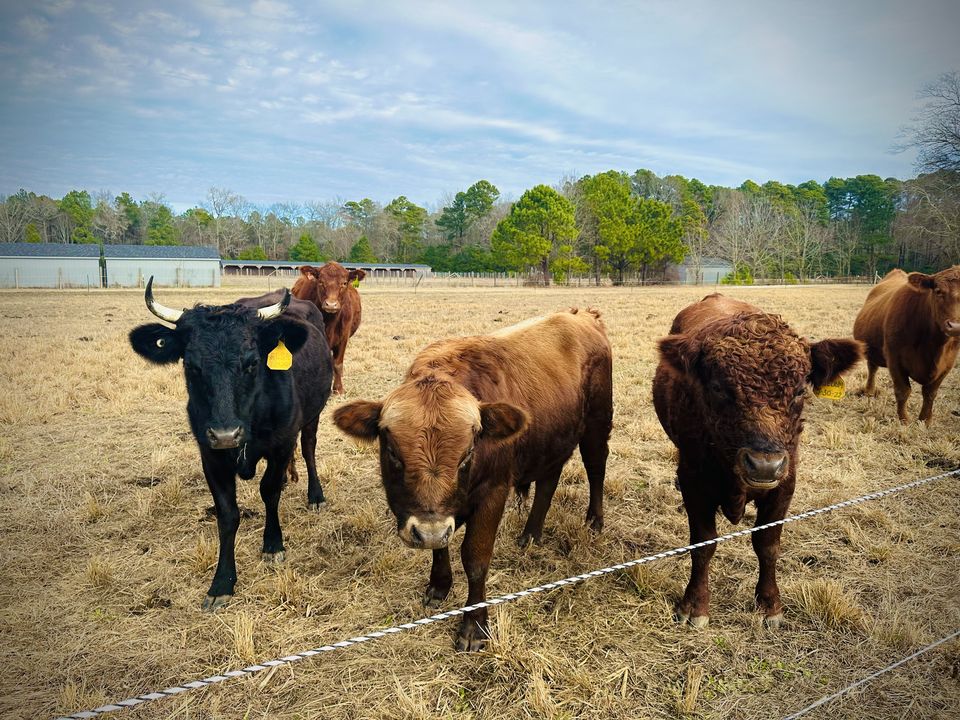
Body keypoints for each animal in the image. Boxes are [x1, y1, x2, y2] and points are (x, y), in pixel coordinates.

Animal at [129, 278, 333, 610]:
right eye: (191, 365)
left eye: (252, 363)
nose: (226, 434)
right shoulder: (210, 457)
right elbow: (227, 514)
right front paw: (222, 582)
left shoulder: (280, 445)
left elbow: (269, 492)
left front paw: (273, 545)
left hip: (313, 416)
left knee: (308, 448)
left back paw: (315, 495)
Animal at [292, 262, 365, 395]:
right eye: (321, 282)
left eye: (344, 283)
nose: (331, 304)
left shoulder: (343, 338)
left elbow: (337, 364)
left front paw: (338, 389)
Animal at [333, 309, 613, 651]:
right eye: (393, 452)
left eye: (467, 453)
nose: (427, 531)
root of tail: (582, 316)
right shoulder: (443, 514)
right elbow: (441, 546)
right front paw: (439, 585)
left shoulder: (494, 492)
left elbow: (475, 558)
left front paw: (474, 625)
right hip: (552, 439)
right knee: (549, 480)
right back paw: (531, 533)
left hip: (597, 425)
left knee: (596, 468)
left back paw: (594, 520)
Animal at [653, 294, 863, 629]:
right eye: (718, 388)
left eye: (800, 390)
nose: (764, 465)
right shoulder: (694, 483)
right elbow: (703, 544)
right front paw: (695, 606)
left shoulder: (785, 484)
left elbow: (767, 543)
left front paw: (769, 604)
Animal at [853, 266, 960, 425]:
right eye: (938, 291)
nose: (956, 326)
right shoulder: (894, 358)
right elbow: (903, 391)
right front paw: (904, 420)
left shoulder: (947, 364)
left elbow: (930, 393)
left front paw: (925, 420)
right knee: (872, 369)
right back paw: (869, 391)